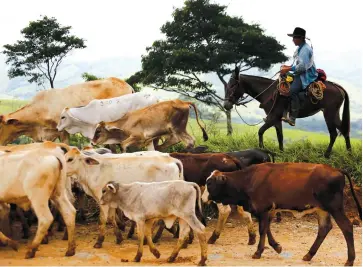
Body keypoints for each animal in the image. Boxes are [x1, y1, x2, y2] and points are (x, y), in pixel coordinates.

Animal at [203, 162, 362, 266]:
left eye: (209, 183)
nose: (203, 198)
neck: (249, 179)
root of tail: (337, 170)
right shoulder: (269, 210)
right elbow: (267, 229)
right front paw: (276, 246)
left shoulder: (263, 209)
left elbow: (262, 230)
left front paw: (258, 252)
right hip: (322, 209)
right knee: (324, 228)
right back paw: (309, 255)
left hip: (335, 208)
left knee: (347, 227)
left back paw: (350, 260)